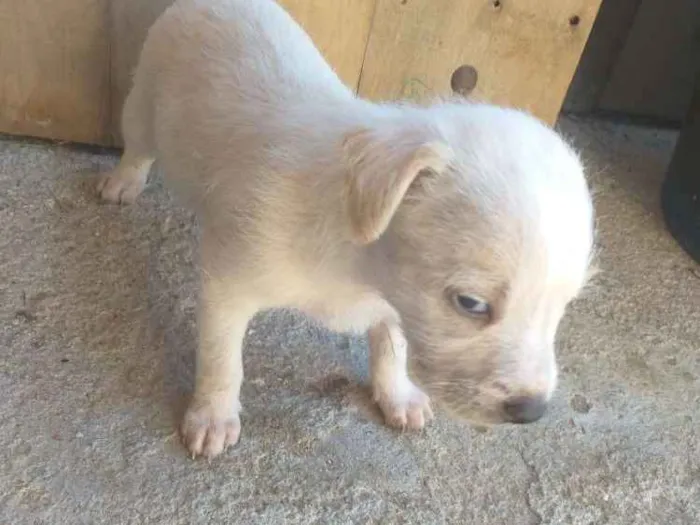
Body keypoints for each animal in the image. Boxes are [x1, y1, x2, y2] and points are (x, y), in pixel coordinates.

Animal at [98, 0, 592, 458]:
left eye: (564, 306)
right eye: (471, 304)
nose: (531, 412)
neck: (357, 265)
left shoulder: (396, 303)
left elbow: (392, 347)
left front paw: (397, 395)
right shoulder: (226, 283)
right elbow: (222, 360)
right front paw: (212, 417)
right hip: (142, 102)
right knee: (137, 147)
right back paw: (121, 184)